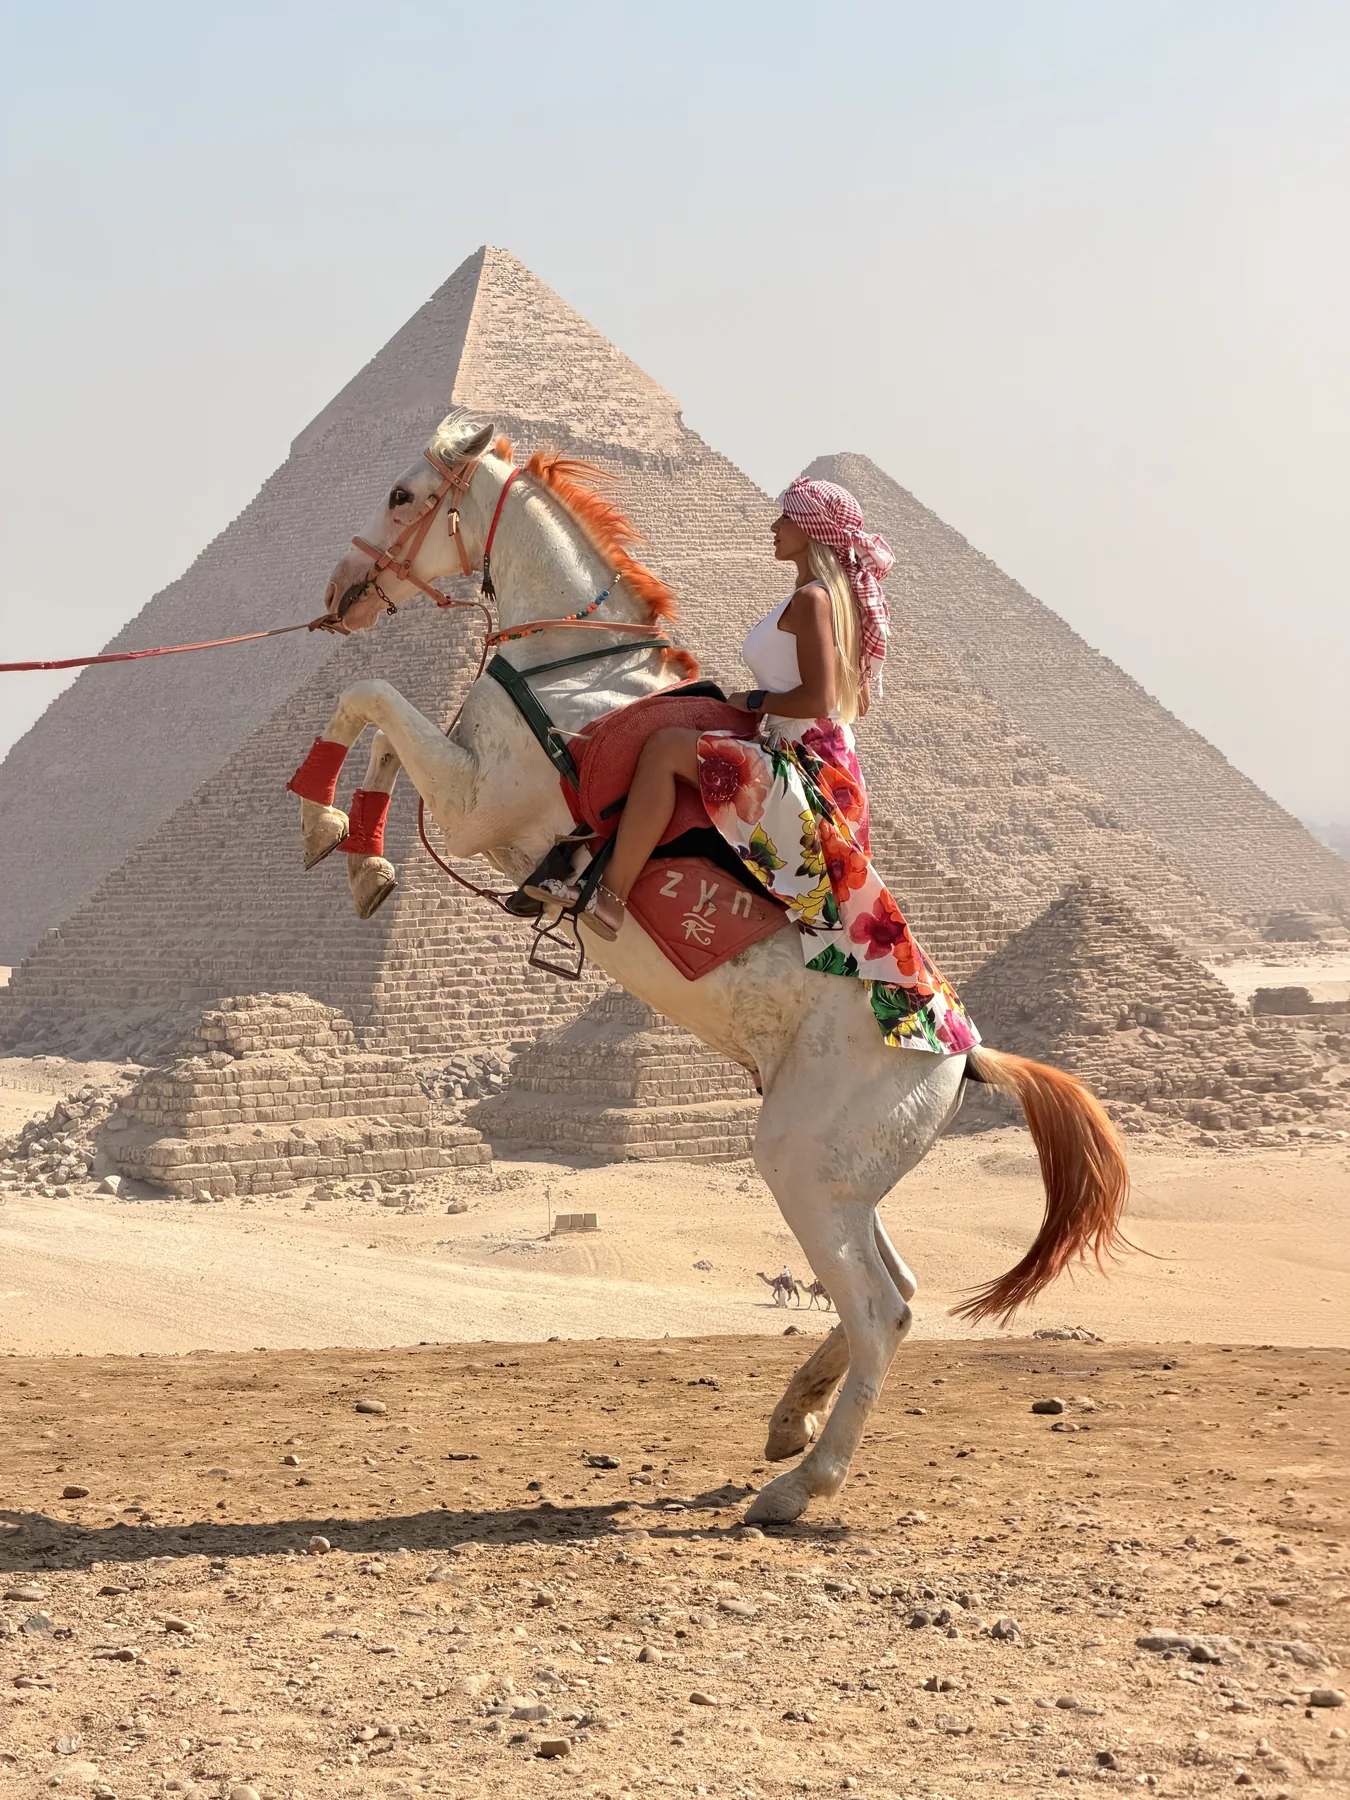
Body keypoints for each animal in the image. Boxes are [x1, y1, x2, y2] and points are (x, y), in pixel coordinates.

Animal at [292, 407, 1130, 1525]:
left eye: (399, 495)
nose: (339, 590)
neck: (573, 668)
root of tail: (967, 1056)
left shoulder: (480, 808)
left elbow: (368, 699)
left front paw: (321, 817)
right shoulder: (463, 786)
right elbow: (383, 737)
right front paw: (365, 861)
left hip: (799, 1157)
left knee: (880, 1310)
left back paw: (799, 1484)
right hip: (848, 1174)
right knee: (899, 1293)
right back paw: (792, 1417)